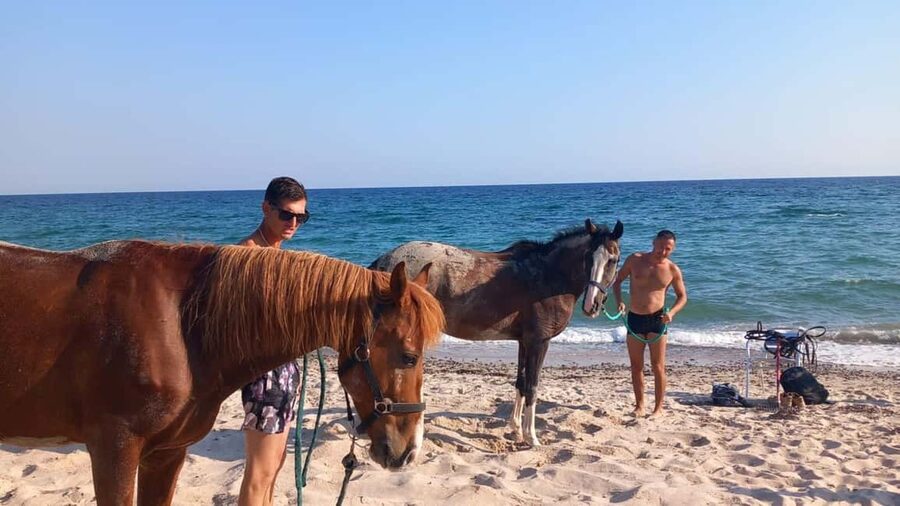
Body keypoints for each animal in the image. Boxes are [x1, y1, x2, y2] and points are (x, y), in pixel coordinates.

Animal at [370, 219, 623, 446]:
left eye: (614, 260)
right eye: (588, 257)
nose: (592, 305)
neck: (548, 277)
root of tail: (382, 262)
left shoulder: (525, 341)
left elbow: (521, 382)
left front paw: (517, 430)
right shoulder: (539, 342)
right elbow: (532, 386)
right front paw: (531, 437)